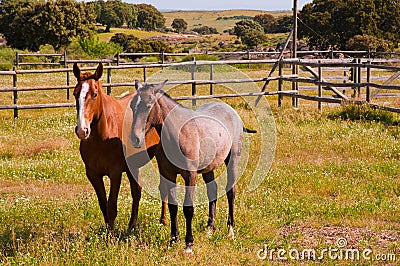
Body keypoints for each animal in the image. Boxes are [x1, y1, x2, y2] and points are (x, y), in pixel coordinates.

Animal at [72, 62, 165, 235]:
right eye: (75, 94)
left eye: (94, 94)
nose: (82, 130)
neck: (102, 137)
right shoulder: (93, 174)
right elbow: (103, 205)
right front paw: (108, 233)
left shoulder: (115, 173)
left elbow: (112, 206)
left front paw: (111, 237)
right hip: (132, 167)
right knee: (136, 192)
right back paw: (132, 226)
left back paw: (163, 221)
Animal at [128, 80, 256, 252]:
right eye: (131, 105)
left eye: (148, 105)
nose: (135, 138)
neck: (179, 134)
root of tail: (233, 113)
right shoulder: (168, 174)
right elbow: (173, 206)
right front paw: (173, 239)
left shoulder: (190, 174)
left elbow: (188, 208)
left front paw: (188, 243)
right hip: (209, 167)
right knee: (212, 190)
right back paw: (210, 227)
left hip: (232, 159)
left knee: (231, 192)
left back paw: (230, 230)